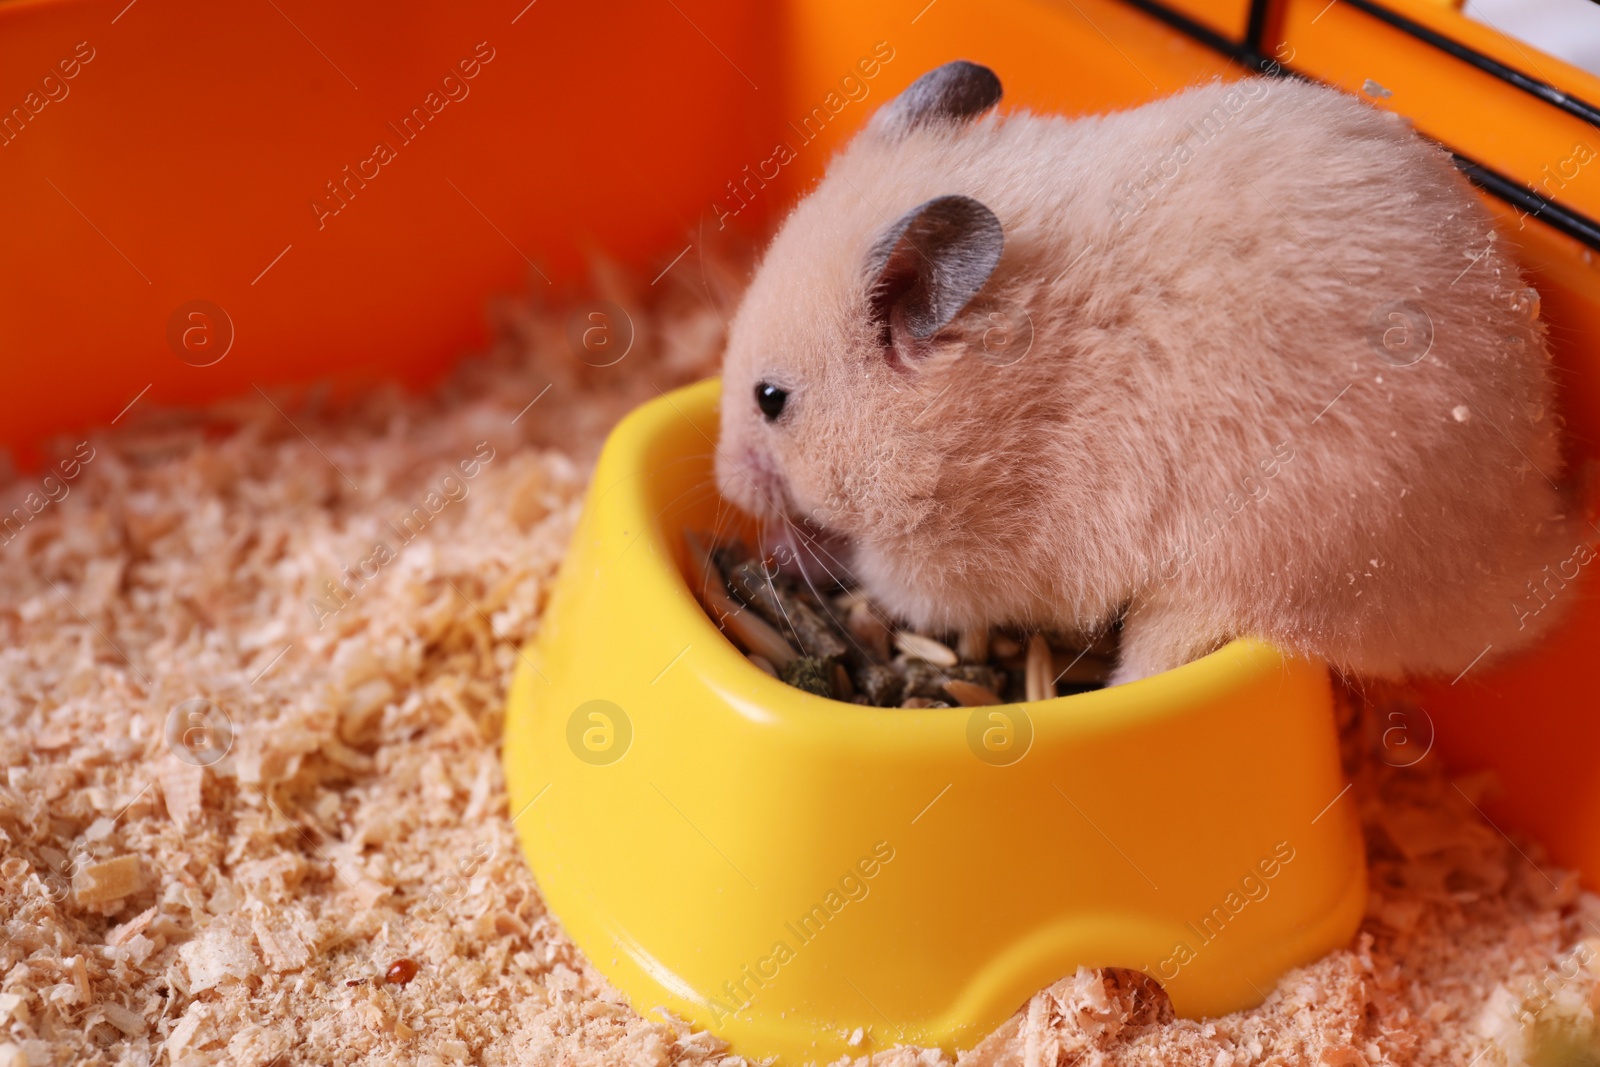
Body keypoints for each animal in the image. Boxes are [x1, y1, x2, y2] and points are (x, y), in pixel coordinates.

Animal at [716, 62, 1587, 687]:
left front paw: (795, 551)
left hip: (1238, 581)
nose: (724, 481)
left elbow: (882, 575)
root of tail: (1524, 564)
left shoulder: (965, 563)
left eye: (772, 400)